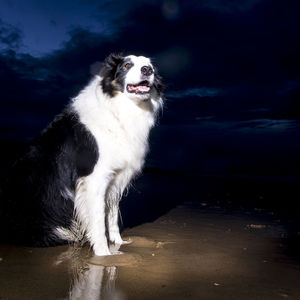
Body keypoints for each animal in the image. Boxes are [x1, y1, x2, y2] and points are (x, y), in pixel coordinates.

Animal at [0, 53, 164, 255]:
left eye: (150, 66)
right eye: (127, 65)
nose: (147, 70)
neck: (118, 110)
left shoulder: (114, 179)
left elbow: (112, 216)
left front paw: (118, 244)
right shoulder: (95, 178)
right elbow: (98, 220)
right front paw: (103, 254)